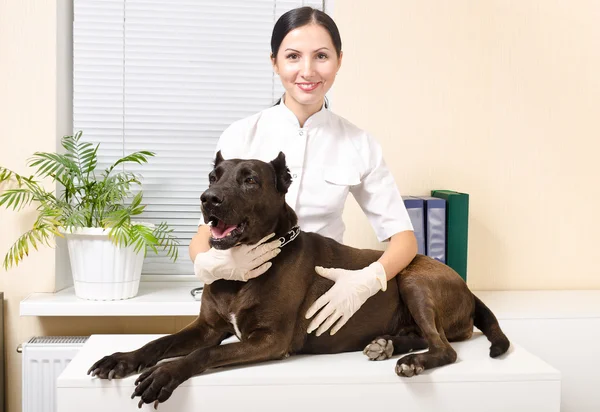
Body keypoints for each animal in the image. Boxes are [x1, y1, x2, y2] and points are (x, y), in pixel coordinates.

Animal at [90, 152, 510, 408]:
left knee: (445, 348)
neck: (242, 272)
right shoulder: (207, 326)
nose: (208, 198)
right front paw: (122, 359)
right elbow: (158, 342)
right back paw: (387, 345)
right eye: (213, 176)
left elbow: (201, 355)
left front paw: (166, 373)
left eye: (249, 180)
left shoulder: (269, 340)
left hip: (414, 281)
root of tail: (468, 288)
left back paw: (411, 361)